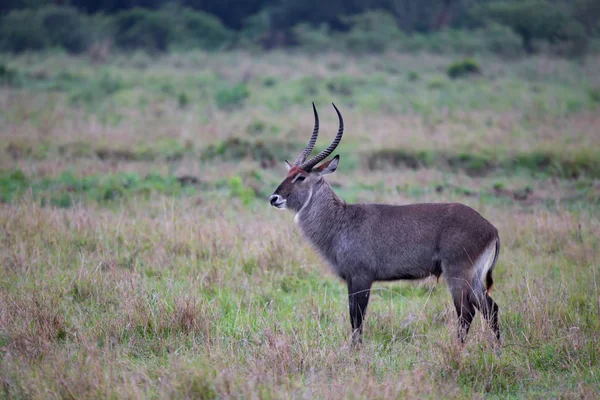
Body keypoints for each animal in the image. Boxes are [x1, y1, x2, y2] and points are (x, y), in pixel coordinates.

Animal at [268, 103, 502, 344]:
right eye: (289, 172)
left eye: (301, 177)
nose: (274, 198)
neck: (340, 220)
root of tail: (491, 228)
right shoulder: (353, 280)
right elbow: (355, 318)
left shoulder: (361, 277)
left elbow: (357, 318)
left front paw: (356, 350)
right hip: (474, 277)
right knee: (490, 308)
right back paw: (497, 347)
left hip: (457, 273)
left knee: (466, 312)